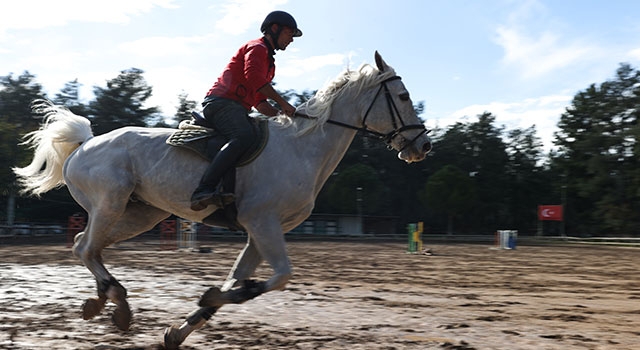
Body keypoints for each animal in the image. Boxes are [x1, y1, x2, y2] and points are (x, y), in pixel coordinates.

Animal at [13, 51, 430, 348]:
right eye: (403, 96)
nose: (422, 146)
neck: (302, 148)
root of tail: (85, 143)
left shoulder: (262, 231)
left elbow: (239, 279)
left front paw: (181, 329)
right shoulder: (263, 223)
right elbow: (275, 278)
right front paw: (213, 298)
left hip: (139, 215)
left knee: (85, 245)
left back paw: (108, 303)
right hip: (110, 204)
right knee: (86, 248)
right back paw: (116, 301)